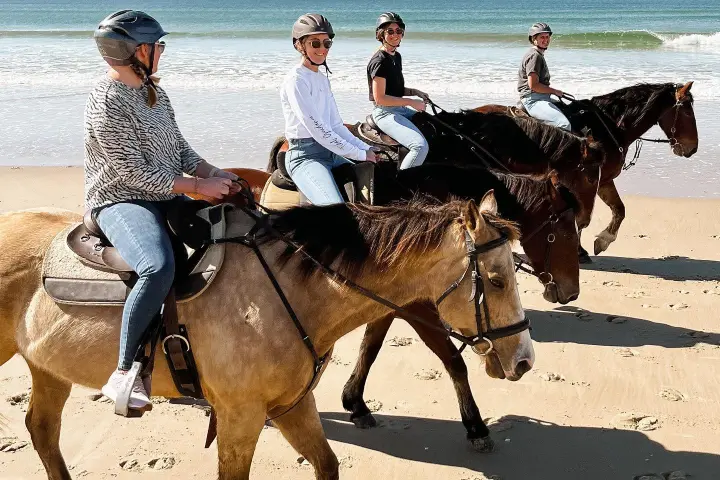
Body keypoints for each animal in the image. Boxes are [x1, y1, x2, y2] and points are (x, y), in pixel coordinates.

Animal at [0, 196, 532, 480]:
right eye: (497, 280)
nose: (524, 360)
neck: (287, 290)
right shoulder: (241, 418)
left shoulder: (293, 406)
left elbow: (327, 464)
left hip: (47, 369)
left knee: (42, 431)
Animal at [475, 82, 698, 261]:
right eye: (687, 112)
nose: (693, 148)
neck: (607, 128)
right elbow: (582, 218)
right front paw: (579, 250)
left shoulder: (604, 181)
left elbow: (619, 210)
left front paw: (601, 241)